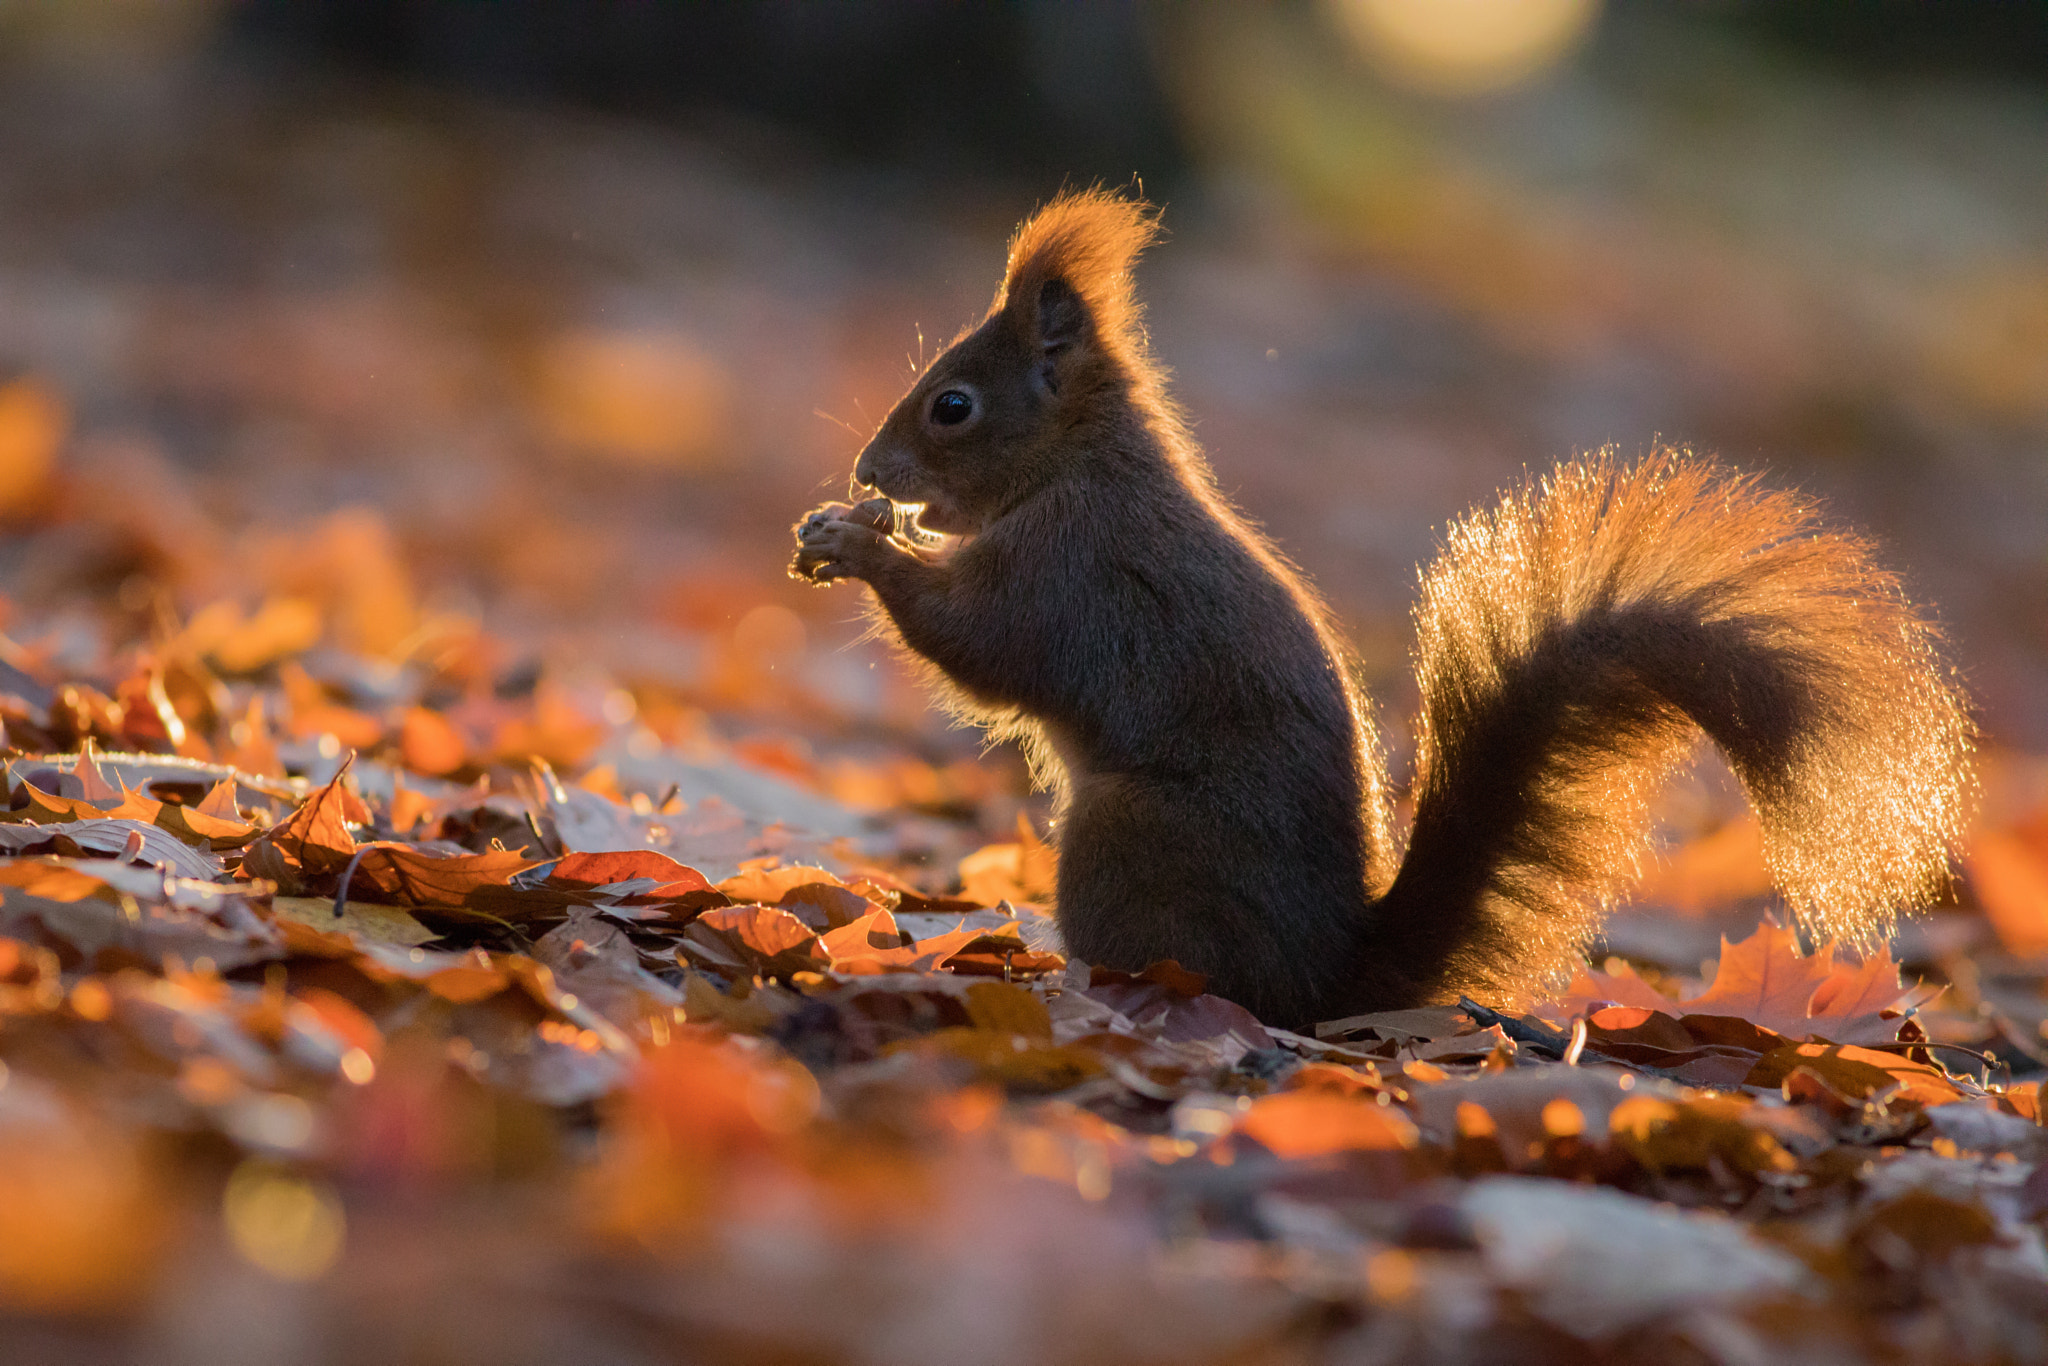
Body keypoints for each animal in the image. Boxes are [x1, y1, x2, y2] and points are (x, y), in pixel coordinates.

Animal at [791, 189, 1974, 1029]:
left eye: (952, 405)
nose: (868, 469)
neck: (1078, 464)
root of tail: (1327, 979)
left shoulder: (1074, 574)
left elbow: (983, 647)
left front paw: (861, 542)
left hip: (1131, 840)